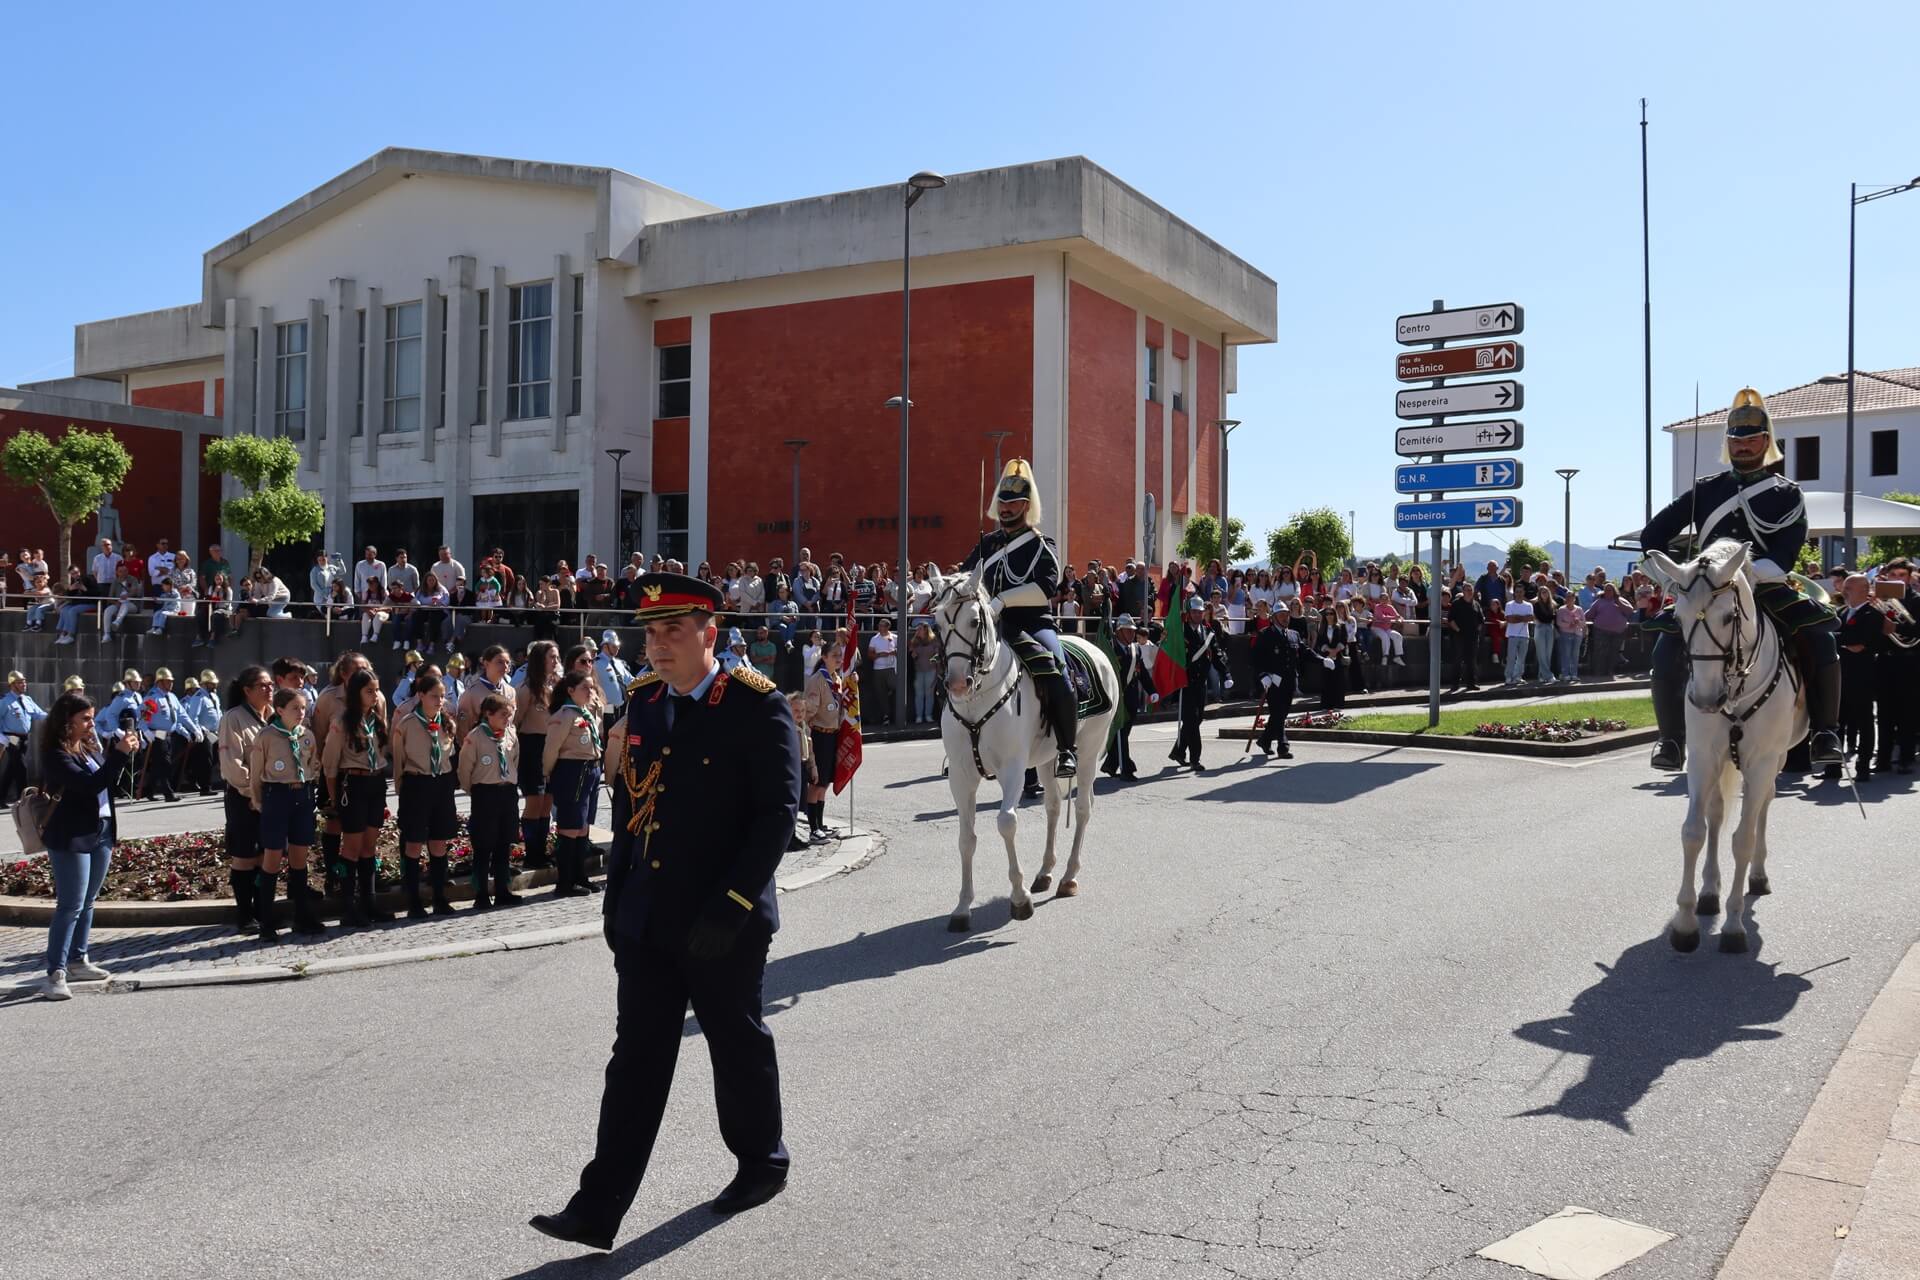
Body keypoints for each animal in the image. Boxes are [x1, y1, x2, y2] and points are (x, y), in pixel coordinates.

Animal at [927, 566, 1119, 932]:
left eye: (975, 620)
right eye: (938, 622)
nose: (957, 684)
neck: (978, 699)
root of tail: (1093, 647)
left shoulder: (1013, 769)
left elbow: (1006, 823)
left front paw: (1019, 900)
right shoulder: (960, 776)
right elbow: (966, 838)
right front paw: (962, 907)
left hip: (1089, 752)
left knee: (1083, 807)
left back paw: (1069, 877)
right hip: (1046, 759)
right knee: (1054, 807)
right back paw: (1045, 872)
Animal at [1642, 540, 1806, 954]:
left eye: (1730, 617)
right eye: (1678, 618)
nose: (1704, 698)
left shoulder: (1761, 762)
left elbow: (1743, 839)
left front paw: (1733, 926)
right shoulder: (1702, 757)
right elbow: (1694, 832)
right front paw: (1686, 922)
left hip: (1776, 760)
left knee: (1762, 807)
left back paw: (1757, 876)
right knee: (1716, 815)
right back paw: (1709, 893)